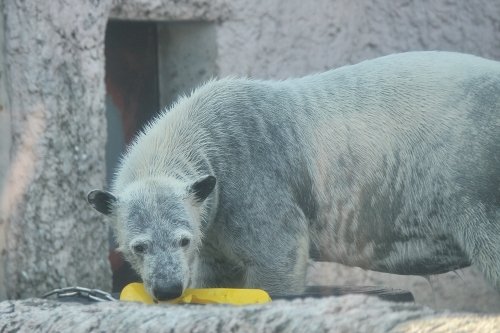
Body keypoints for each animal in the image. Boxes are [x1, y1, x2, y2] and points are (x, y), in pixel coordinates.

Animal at [89, 51, 500, 300]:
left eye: (182, 239)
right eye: (139, 246)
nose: (168, 288)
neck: (206, 129)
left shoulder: (253, 175)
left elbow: (277, 254)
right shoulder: (215, 218)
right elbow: (219, 273)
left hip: (475, 171)